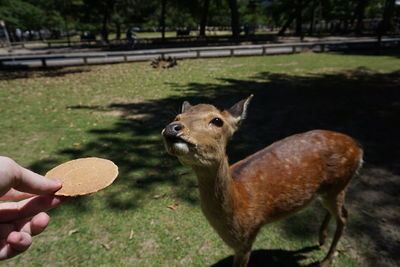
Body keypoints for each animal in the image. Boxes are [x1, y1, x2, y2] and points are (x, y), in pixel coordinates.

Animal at [162, 95, 362, 266]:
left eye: (217, 120)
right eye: (177, 116)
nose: (172, 127)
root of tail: (358, 149)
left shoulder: (247, 237)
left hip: (339, 184)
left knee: (345, 215)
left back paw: (326, 260)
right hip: (331, 189)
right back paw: (321, 238)